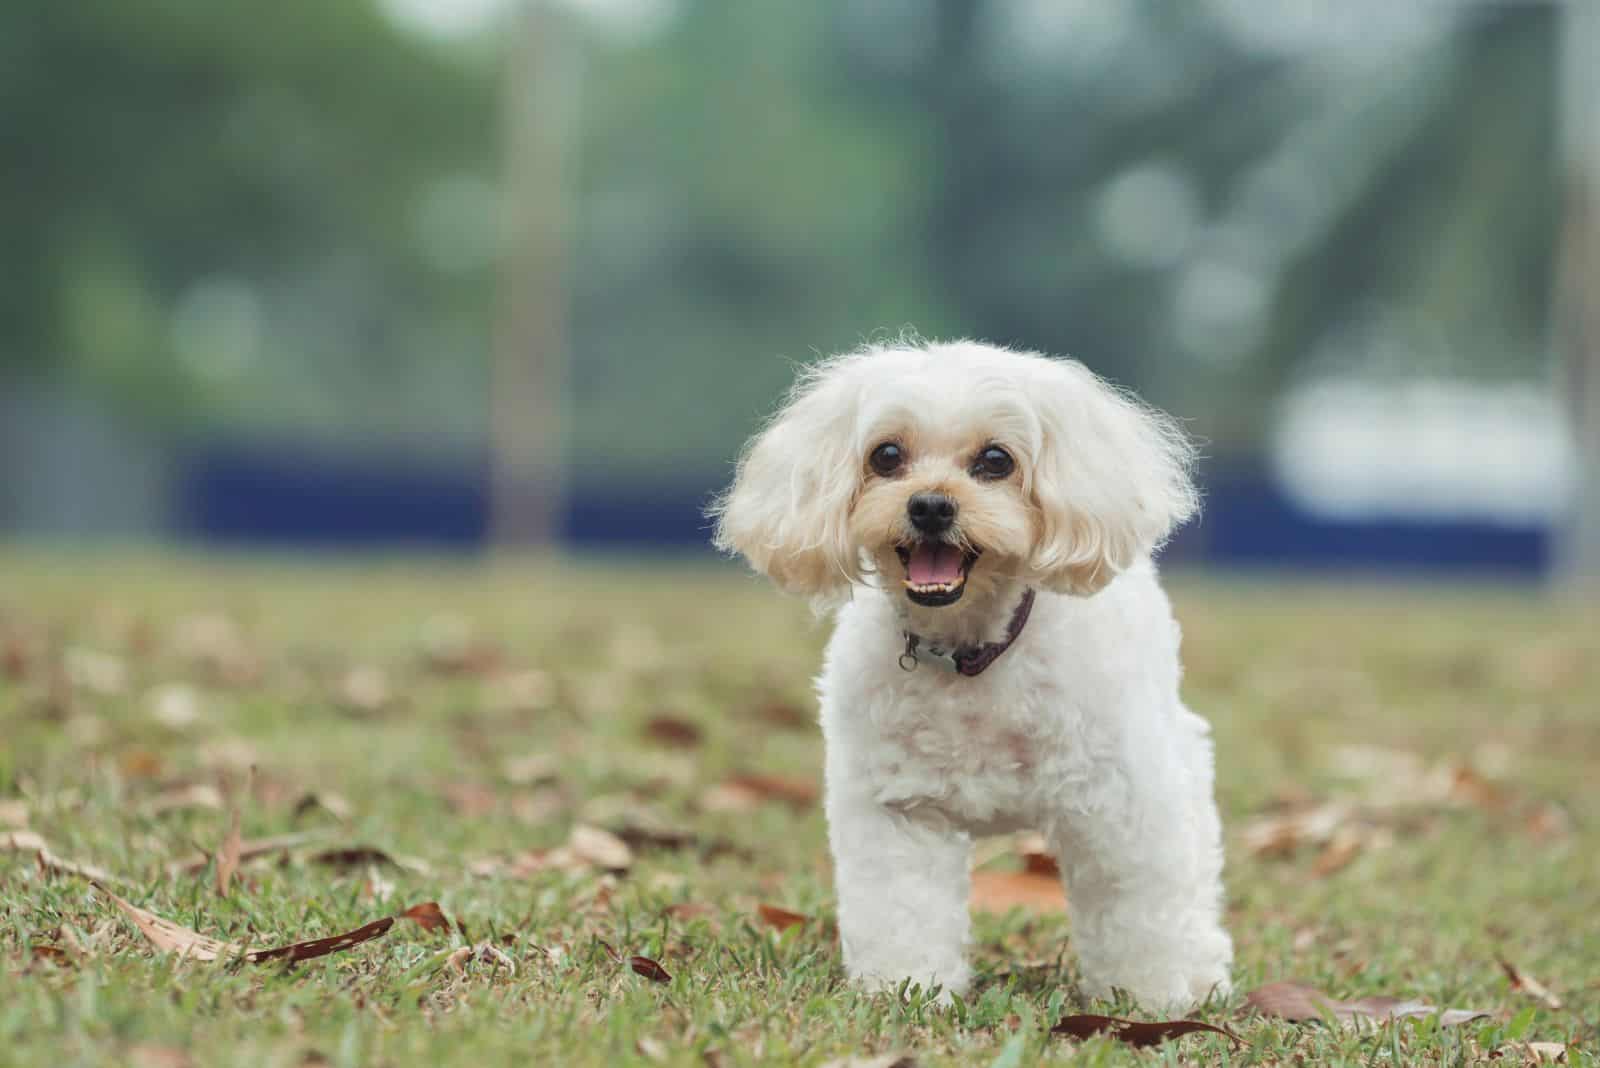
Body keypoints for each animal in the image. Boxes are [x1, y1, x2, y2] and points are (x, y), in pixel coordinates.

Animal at [713, 340, 1235, 1010]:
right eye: (886, 455)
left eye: (995, 460)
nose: (931, 505)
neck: (971, 651)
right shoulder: (897, 810)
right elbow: (901, 909)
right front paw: (907, 988)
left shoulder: (1119, 804)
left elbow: (1137, 908)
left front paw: (1150, 1001)